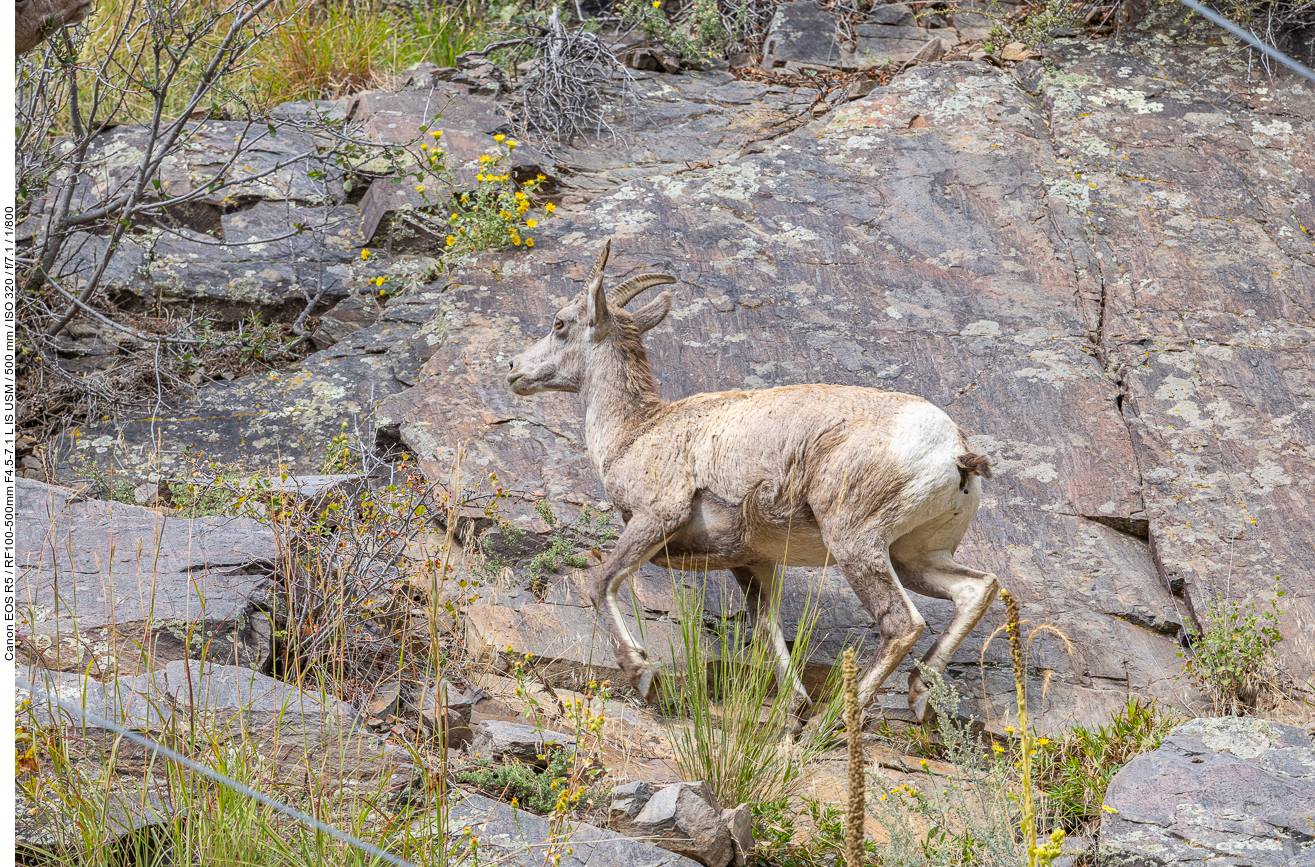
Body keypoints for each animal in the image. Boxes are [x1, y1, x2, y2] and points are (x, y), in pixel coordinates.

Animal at [507, 240, 999, 720]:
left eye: (559, 323)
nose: (513, 369)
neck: (635, 432)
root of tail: (954, 451)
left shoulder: (656, 518)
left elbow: (602, 581)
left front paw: (644, 676)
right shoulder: (752, 561)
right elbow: (767, 630)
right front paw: (794, 706)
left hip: (856, 544)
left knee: (902, 623)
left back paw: (834, 720)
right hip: (913, 555)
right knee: (977, 588)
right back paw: (918, 694)